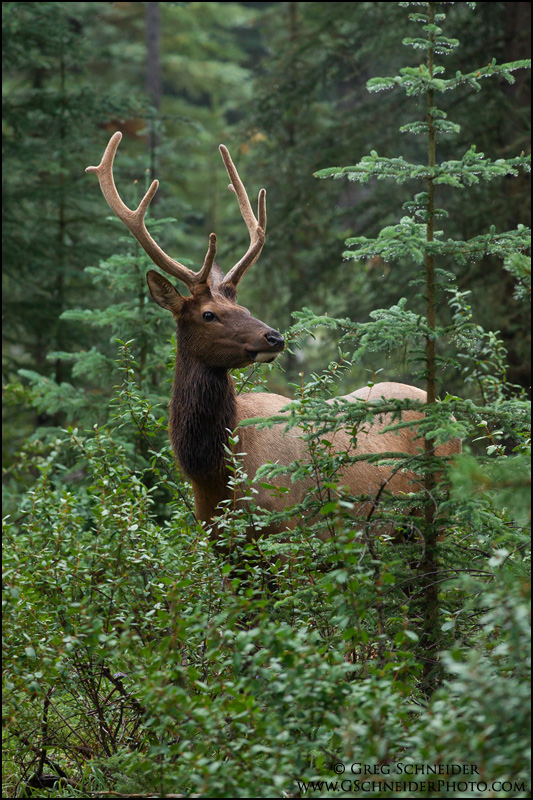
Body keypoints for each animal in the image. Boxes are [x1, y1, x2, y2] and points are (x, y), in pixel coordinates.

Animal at [86, 133, 460, 554]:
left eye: (244, 306)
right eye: (209, 314)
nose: (275, 337)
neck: (217, 477)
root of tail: (452, 414)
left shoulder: (294, 537)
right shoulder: (222, 547)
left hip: (440, 510)